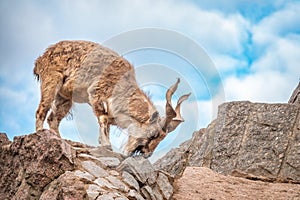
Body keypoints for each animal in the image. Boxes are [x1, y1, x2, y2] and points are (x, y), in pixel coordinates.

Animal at [34, 39, 189, 157]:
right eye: (153, 134)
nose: (147, 154)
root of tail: (40, 59)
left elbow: (106, 125)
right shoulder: (96, 94)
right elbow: (103, 121)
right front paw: (107, 145)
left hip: (64, 97)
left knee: (53, 118)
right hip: (51, 82)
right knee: (41, 111)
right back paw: (41, 133)